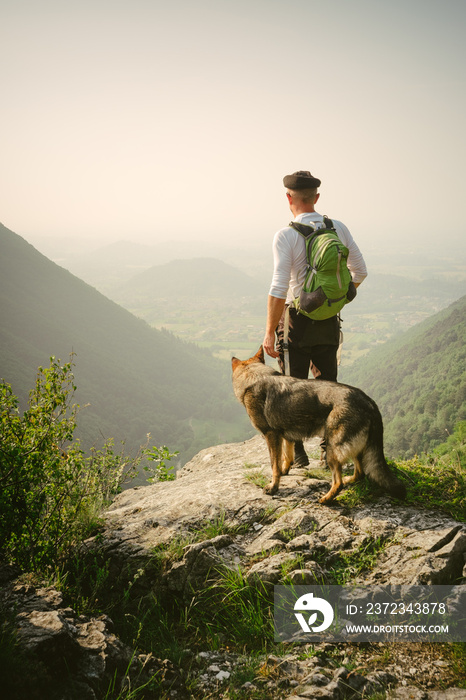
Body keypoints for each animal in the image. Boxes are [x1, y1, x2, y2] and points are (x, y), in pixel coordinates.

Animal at [231, 348, 406, 504]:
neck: (255, 376)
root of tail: (369, 402)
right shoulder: (285, 436)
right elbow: (287, 457)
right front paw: (285, 471)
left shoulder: (271, 436)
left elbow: (274, 465)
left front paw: (273, 486)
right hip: (355, 448)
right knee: (360, 473)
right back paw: (349, 480)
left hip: (332, 449)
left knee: (338, 482)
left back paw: (326, 499)